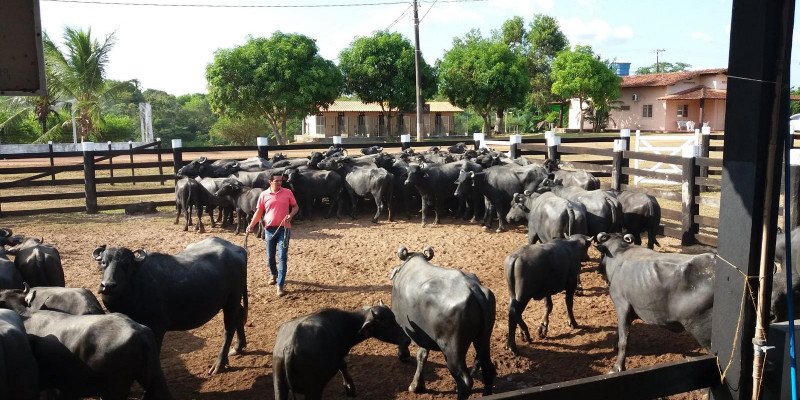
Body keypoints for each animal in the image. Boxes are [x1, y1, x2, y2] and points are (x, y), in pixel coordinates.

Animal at [92, 236, 247, 374]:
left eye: (126, 264)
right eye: (103, 263)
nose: (108, 285)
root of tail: (238, 249)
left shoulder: (156, 328)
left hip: (232, 299)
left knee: (229, 328)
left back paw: (219, 364)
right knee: (239, 314)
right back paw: (238, 347)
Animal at [274, 304, 412, 400]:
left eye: (394, 318)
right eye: (386, 324)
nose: (407, 339)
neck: (347, 323)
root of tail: (289, 347)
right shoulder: (340, 354)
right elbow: (343, 366)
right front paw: (350, 388)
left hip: (279, 384)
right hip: (313, 389)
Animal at [390, 247, 494, 396]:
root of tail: (473, 288)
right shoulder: (424, 334)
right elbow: (422, 355)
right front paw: (417, 385)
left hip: (452, 350)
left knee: (465, 381)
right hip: (483, 340)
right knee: (488, 368)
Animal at [592, 233, 712, 374]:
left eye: (601, 254)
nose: (598, 270)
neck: (620, 256)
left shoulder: (622, 306)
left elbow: (623, 339)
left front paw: (617, 367)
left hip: (703, 332)